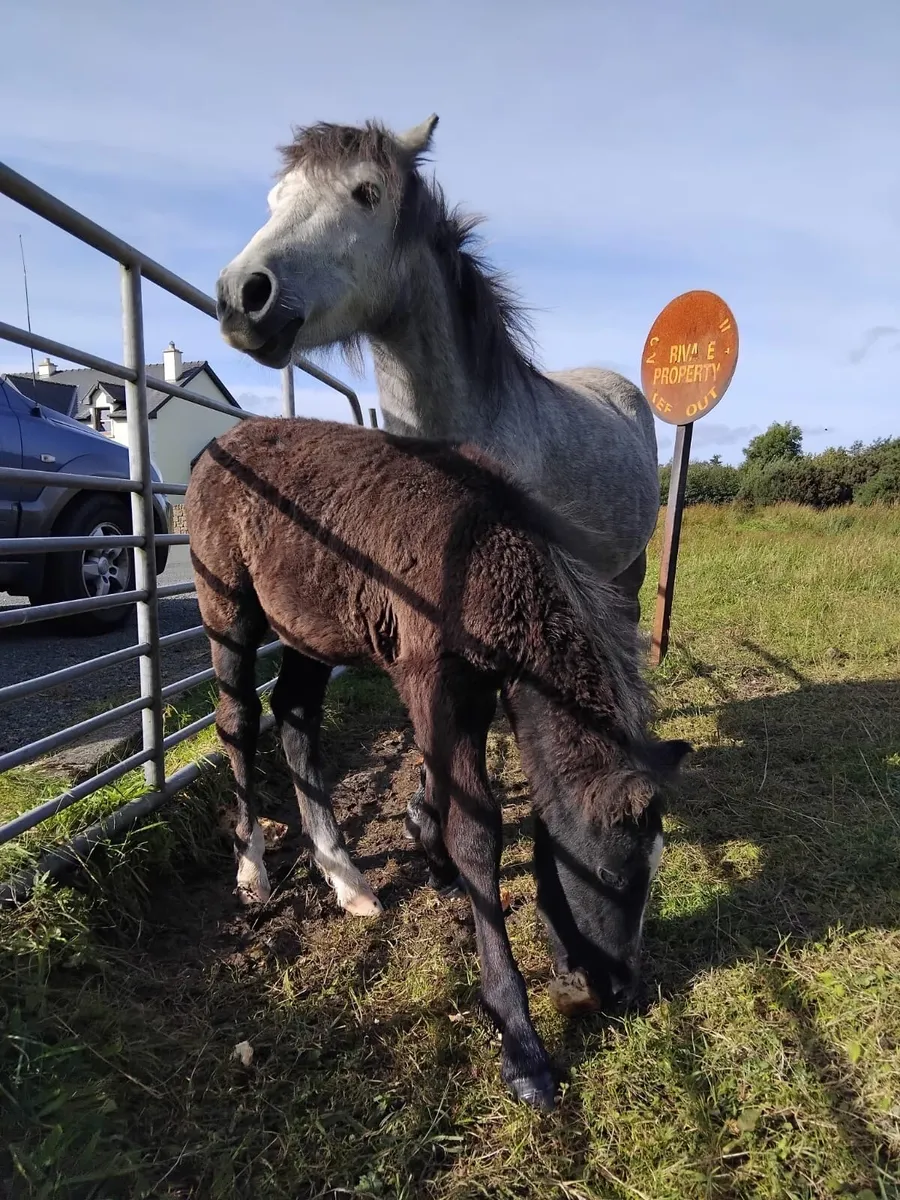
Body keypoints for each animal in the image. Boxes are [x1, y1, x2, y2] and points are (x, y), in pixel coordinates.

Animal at [186, 417, 689, 1109]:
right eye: (612, 875)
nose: (620, 990)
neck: (484, 555)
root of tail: (217, 447)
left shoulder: (474, 692)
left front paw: (434, 856)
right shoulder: (431, 679)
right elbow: (477, 831)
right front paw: (520, 1044)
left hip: (308, 627)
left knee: (294, 714)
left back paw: (346, 878)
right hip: (228, 606)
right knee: (237, 721)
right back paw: (252, 870)